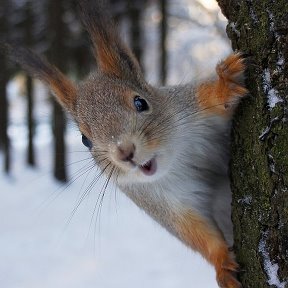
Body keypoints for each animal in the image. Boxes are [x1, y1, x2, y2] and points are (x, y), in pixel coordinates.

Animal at [1, 0, 248, 288]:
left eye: (141, 102)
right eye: (85, 139)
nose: (125, 152)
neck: (177, 158)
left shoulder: (191, 107)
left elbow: (210, 96)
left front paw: (225, 83)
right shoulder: (159, 199)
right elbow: (193, 231)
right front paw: (222, 265)